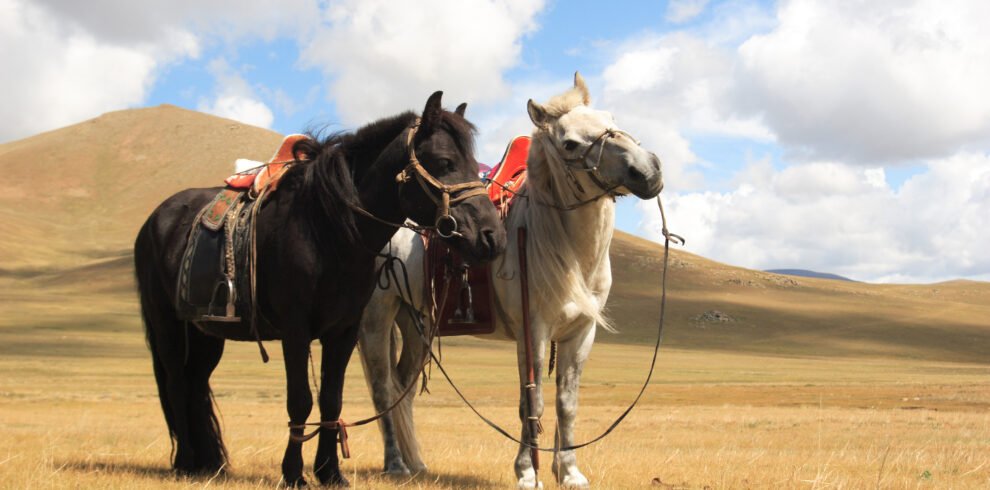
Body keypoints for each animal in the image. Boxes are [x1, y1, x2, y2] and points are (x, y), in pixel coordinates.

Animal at [134, 92, 507, 487]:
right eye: (445, 162)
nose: (492, 236)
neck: (326, 229)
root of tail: (155, 219)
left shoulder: (342, 331)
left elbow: (331, 398)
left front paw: (330, 472)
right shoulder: (295, 330)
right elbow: (300, 399)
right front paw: (294, 473)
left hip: (205, 333)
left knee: (196, 382)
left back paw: (210, 463)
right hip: (168, 326)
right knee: (177, 382)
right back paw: (187, 461)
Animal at [356, 73, 665, 488]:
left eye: (610, 118)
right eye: (569, 143)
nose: (647, 170)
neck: (567, 249)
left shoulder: (581, 333)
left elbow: (567, 402)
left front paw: (569, 471)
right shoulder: (532, 331)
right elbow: (531, 401)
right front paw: (527, 471)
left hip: (416, 321)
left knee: (402, 386)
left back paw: (417, 463)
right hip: (377, 317)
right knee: (381, 386)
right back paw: (395, 463)